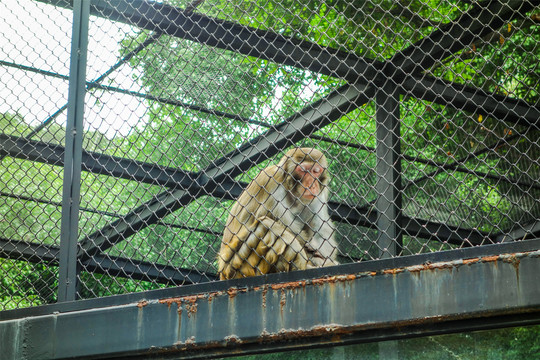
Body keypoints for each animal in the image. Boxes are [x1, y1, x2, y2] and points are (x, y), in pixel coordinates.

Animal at [216, 148, 338, 280]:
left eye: (316, 171)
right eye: (303, 171)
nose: (312, 184)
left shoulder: (319, 195)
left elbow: (321, 236)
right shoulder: (273, 187)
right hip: (237, 265)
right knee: (266, 225)